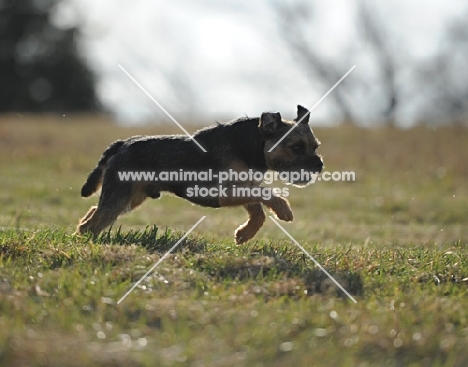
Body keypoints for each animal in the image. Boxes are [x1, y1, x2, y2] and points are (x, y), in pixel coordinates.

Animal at [77, 105, 322, 244]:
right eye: (297, 148)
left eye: (315, 147)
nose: (319, 165)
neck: (252, 145)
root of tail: (122, 144)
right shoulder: (226, 192)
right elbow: (267, 194)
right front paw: (284, 210)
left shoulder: (244, 186)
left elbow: (258, 210)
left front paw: (244, 234)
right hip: (120, 197)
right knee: (91, 223)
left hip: (131, 198)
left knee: (91, 214)